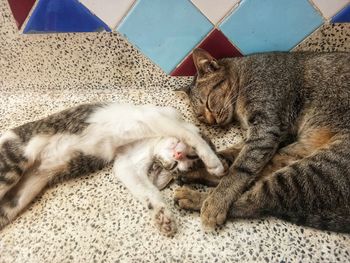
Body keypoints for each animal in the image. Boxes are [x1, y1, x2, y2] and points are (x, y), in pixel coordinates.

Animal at [0, 101, 224, 237]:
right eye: (190, 157)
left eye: (177, 166)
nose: (177, 156)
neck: (149, 142)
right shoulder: (153, 116)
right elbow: (189, 133)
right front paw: (214, 162)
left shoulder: (126, 163)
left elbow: (148, 191)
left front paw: (162, 216)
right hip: (14, 162)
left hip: (16, 200)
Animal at [176, 48, 350, 234]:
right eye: (200, 116)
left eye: (208, 102)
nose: (213, 121)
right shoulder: (271, 135)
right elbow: (231, 155)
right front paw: (205, 162)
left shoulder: (266, 128)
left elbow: (239, 169)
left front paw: (217, 201)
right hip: (295, 154)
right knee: (258, 179)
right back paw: (193, 174)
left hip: (316, 170)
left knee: (256, 203)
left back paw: (197, 199)